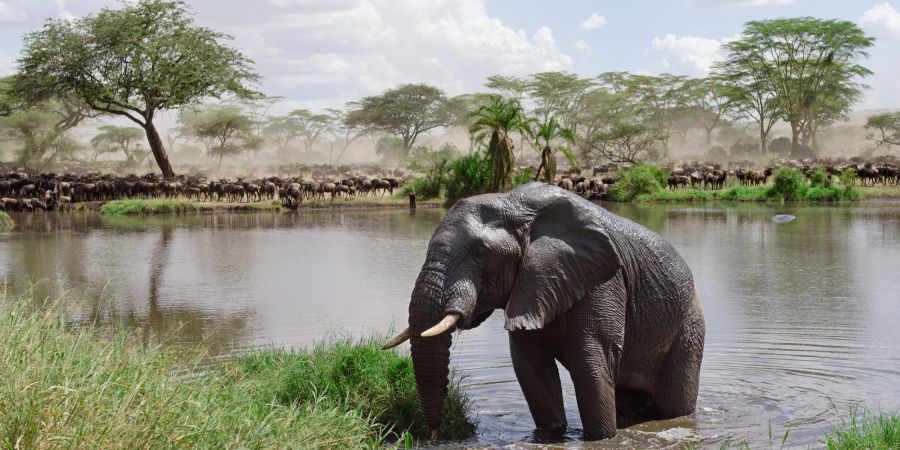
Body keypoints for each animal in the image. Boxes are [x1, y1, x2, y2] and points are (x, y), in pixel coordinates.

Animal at [380, 182, 704, 440]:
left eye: (481, 254)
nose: (435, 433)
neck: (514, 203)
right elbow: (531, 367)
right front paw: (551, 435)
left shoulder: (602, 282)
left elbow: (590, 362)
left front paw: (601, 438)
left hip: (688, 327)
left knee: (673, 404)